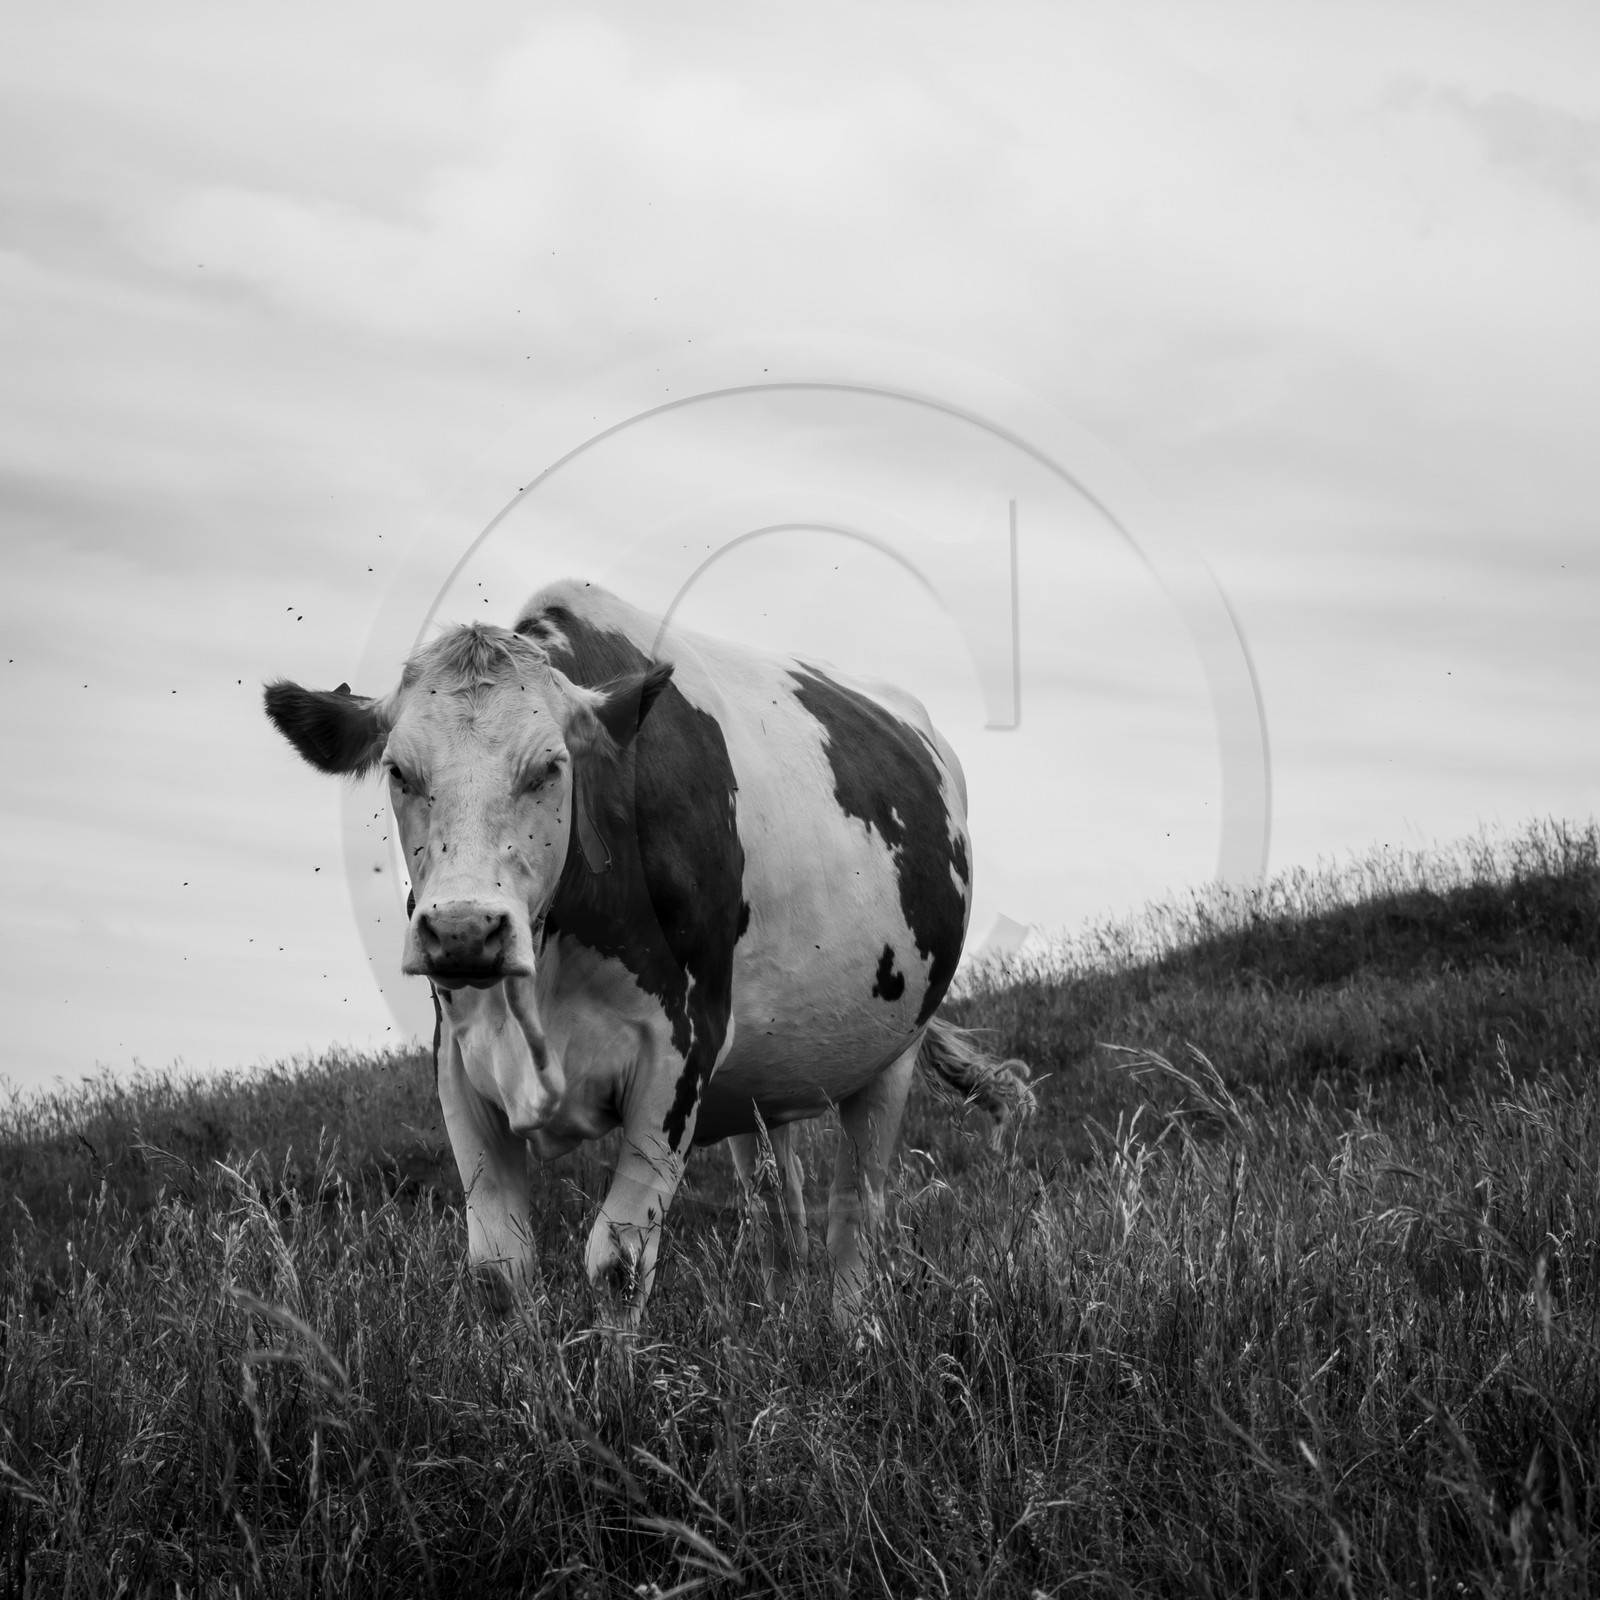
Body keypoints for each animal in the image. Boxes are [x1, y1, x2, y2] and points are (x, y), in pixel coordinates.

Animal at [264, 579, 1032, 1322]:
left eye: (550, 767)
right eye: (398, 770)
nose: (463, 931)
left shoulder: (681, 1050)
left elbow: (619, 1261)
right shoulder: (458, 1059)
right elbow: (499, 1269)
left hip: (890, 1055)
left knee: (856, 1210)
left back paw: (851, 1335)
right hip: (764, 1076)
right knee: (777, 1195)